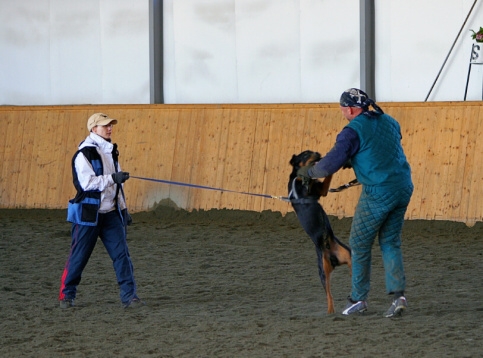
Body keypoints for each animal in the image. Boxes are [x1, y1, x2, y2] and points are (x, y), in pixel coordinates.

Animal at [288, 150, 352, 314]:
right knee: (329, 295)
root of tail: (333, 257)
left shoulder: (320, 189)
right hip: (323, 270)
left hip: (348, 254)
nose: (317, 153)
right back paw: (330, 312)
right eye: (305, 154)